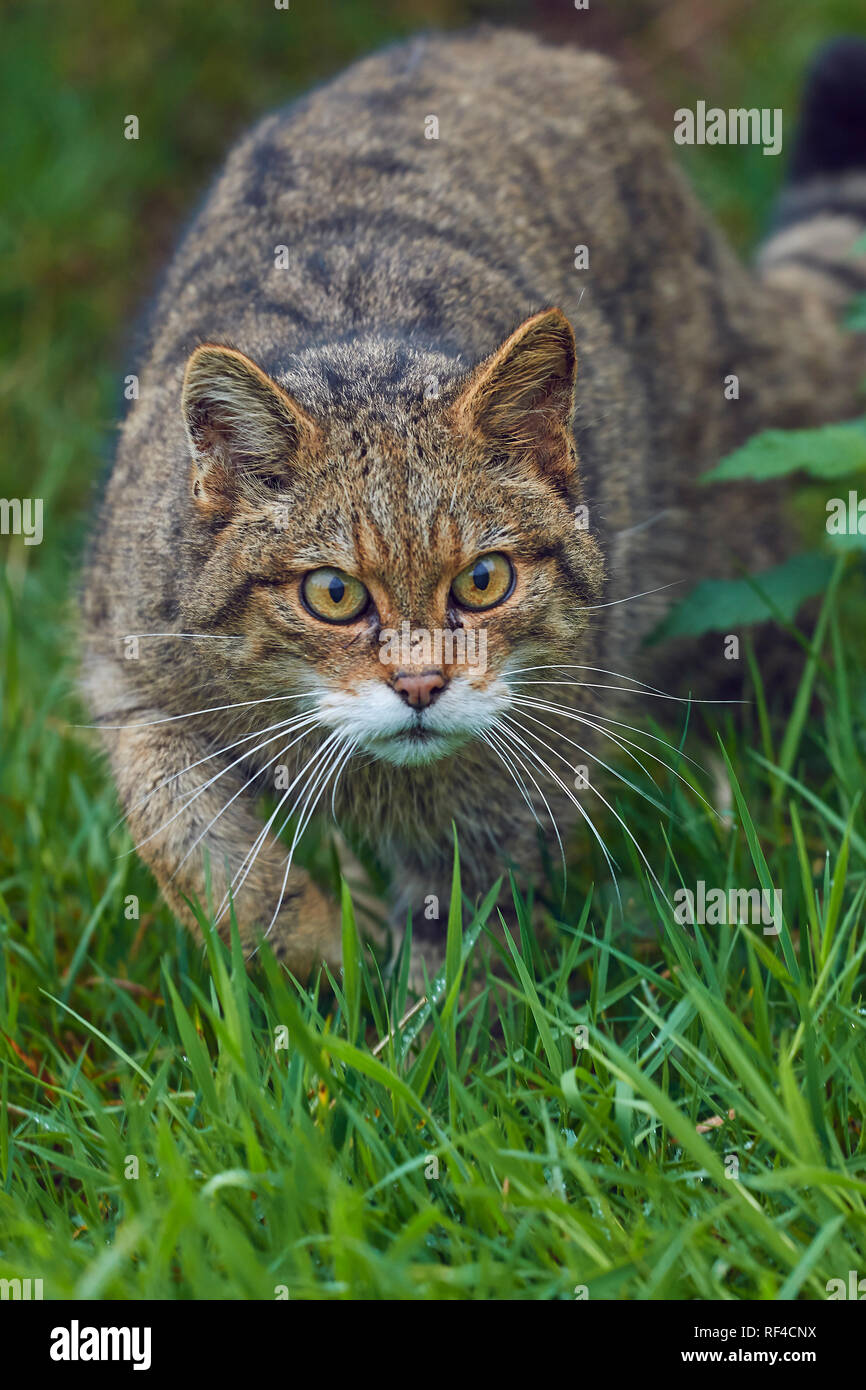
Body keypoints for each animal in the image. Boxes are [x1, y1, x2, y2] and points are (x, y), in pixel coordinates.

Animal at [83, 24, 866, 978]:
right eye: (333, 594)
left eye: (484, 582)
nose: (422, 684)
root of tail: (504, 41)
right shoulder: (123, 661)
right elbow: (187, 832)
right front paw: (305, 939)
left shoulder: (515, 784)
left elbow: (467, 949)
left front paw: (408, 1005)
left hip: (726, 583)